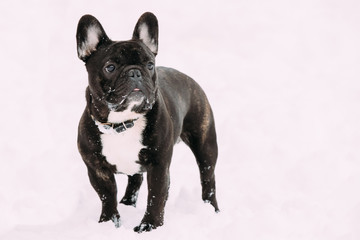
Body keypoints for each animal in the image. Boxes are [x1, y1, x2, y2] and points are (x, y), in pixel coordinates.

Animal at [76, 11, 219, 232]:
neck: (123, 123)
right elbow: (107, 196)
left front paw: (149, 226)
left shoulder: (159, 165)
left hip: (205, 145)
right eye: (110, 67)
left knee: (208, 178)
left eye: (150, 65)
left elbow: (156, 196)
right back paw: (127, 203)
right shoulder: (96, 169)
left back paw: (211, 210)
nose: (135, 71)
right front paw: (108, 223)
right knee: (135, 180)